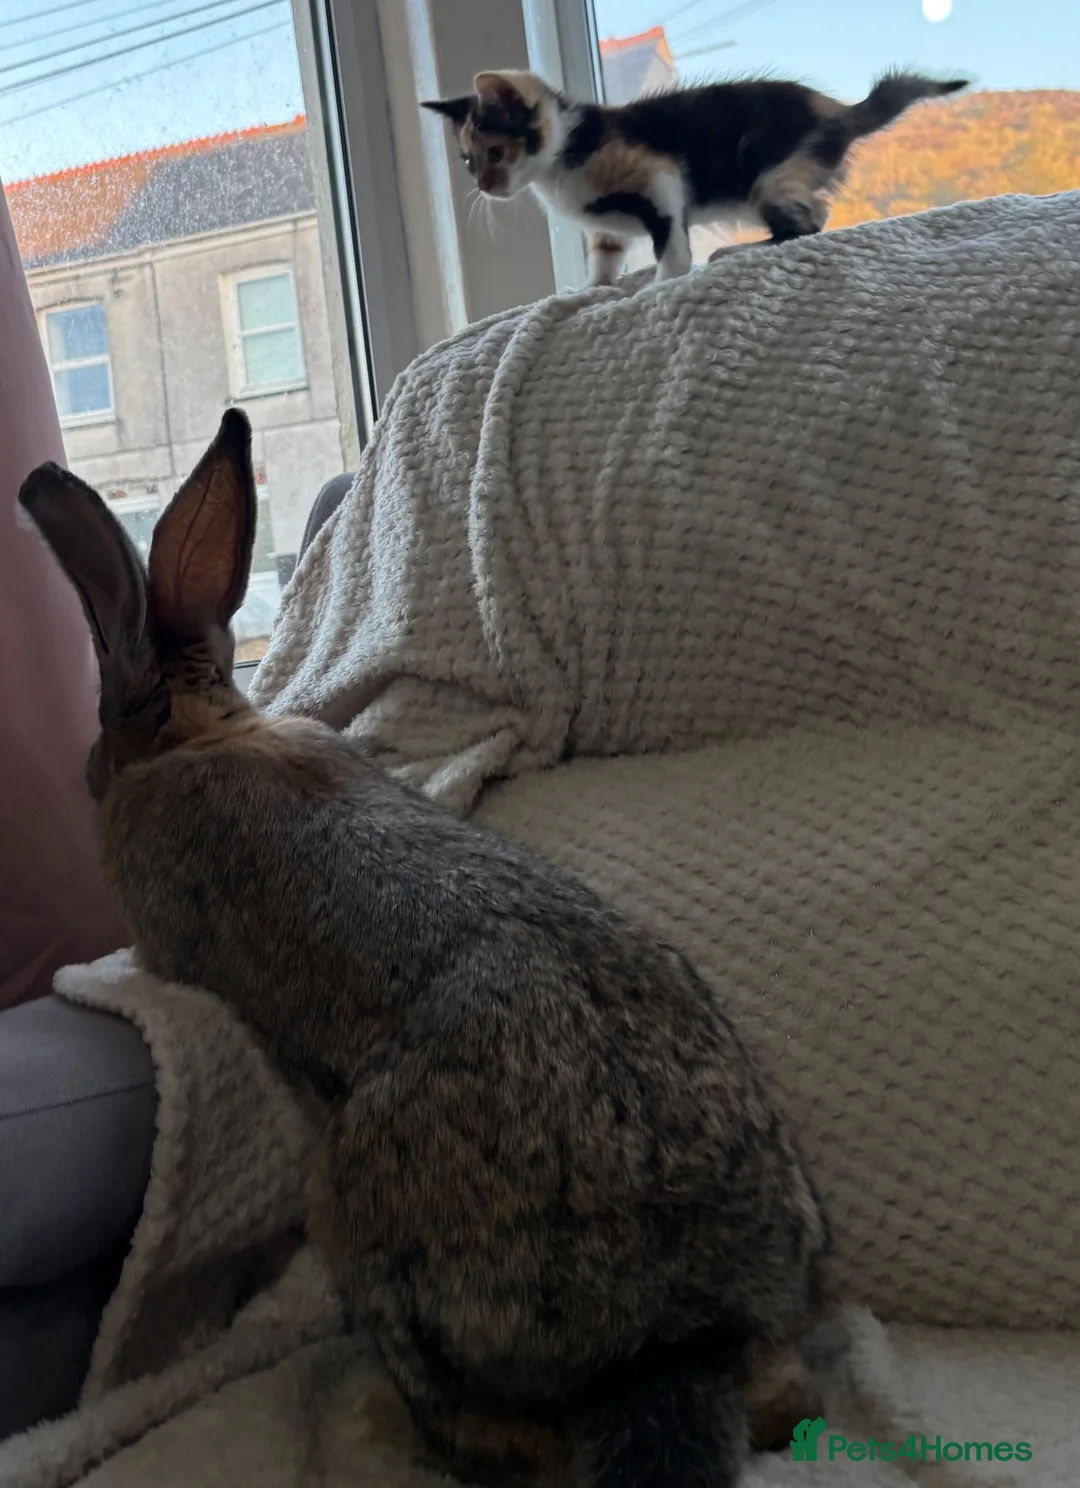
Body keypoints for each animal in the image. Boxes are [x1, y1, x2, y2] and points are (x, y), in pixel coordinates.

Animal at [20, 408, 838, 1488]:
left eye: (104, 737)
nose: (85, 771)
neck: (202, 731)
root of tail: (665, 1346)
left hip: (355, 1216)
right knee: (784, 1398)